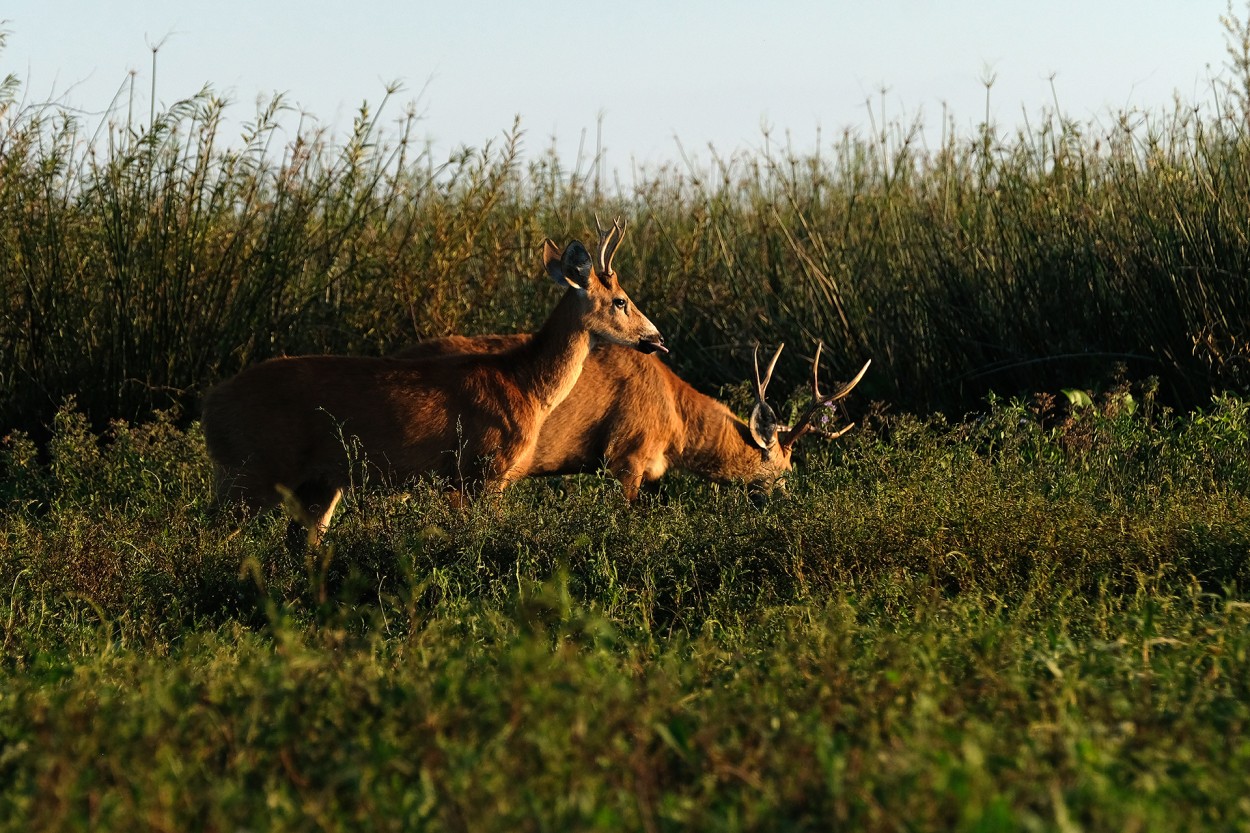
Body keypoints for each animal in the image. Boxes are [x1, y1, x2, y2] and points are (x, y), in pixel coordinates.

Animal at [202, 217, 665, 542]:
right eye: (621, 301)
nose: (656, 338)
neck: (525, 383)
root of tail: (210, 406)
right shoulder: (484, 469)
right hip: (251, 468)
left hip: (316, 483)